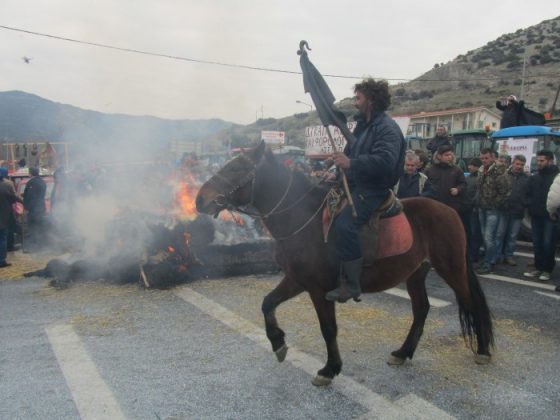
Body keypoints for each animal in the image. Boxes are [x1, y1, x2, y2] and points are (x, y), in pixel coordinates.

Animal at [195, 143, 492, 386]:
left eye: (237, 168)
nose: (200, 199)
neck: (303, 220)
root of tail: (449, 210)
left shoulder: (319, 289)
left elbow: (328, 329)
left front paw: (330, 369)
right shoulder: (297, 280)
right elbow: (268, 303)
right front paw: (278, 342)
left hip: (451, 268)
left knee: (471, 302)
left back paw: (483, 350)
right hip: (416, 272)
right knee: (421, 309)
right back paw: (403, 352)